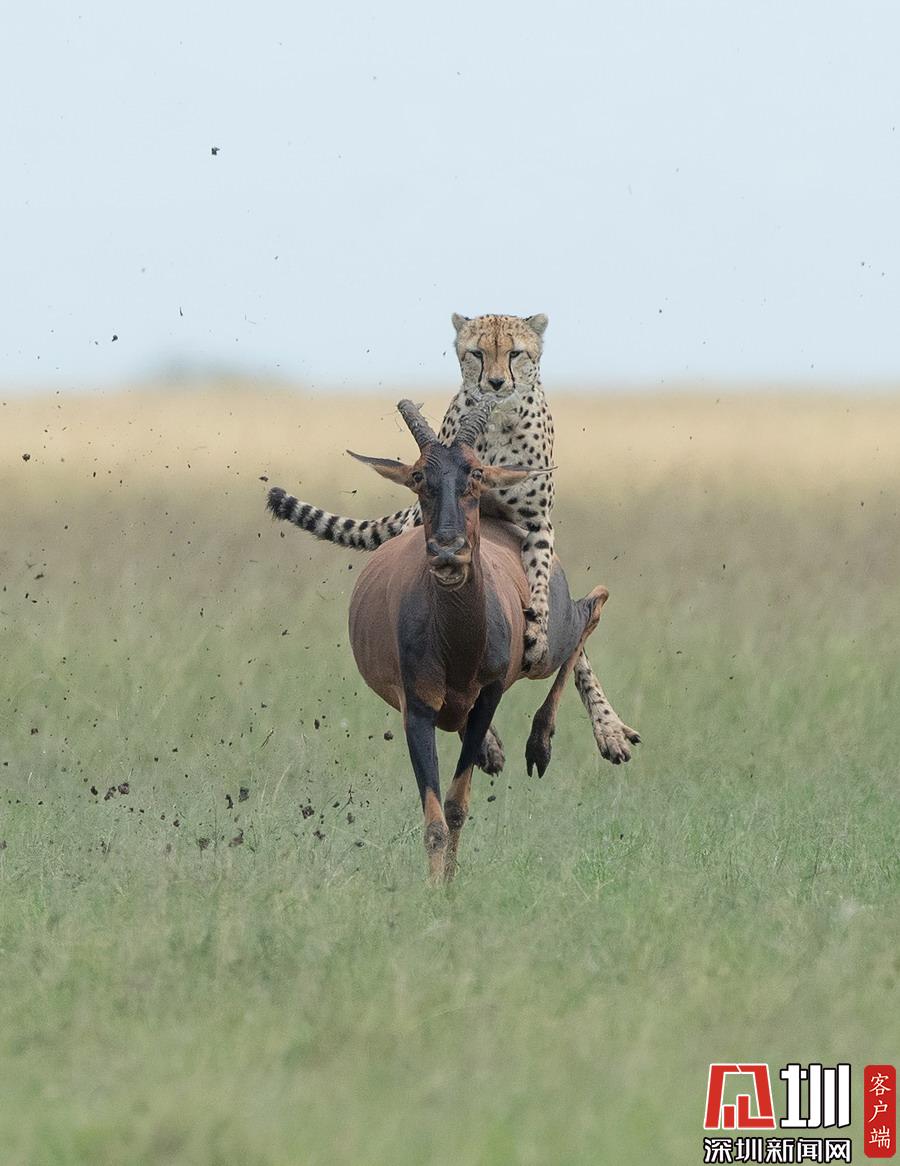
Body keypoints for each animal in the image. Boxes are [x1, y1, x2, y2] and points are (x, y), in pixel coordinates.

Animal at [267, 312, 640, 764]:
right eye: (476, 353)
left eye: (515, 353)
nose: (495, 384)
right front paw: (488, 739)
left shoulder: (537, 526)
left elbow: (541, 600)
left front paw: (536, 638)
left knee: (573, 639)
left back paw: (604, 728)